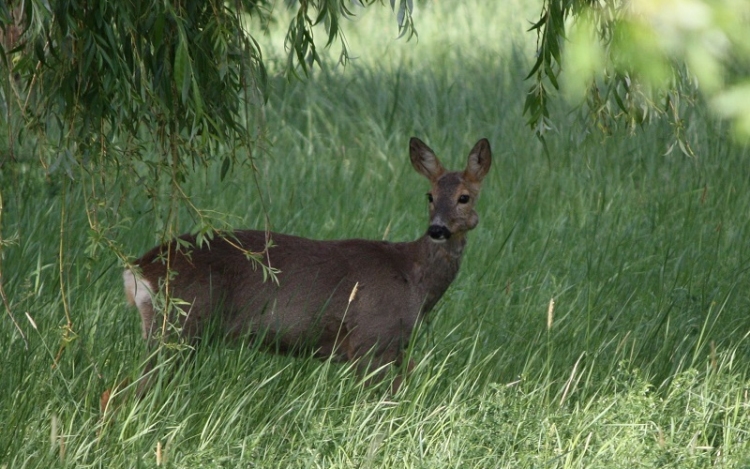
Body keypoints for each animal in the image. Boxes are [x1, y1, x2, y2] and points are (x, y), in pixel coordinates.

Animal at [125, 136, 494, 392]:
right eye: (429, 196)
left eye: (464, 197)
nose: (438, 229)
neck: (413, 278)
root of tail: (139, 270)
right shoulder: (373, 339)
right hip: (179, 325)